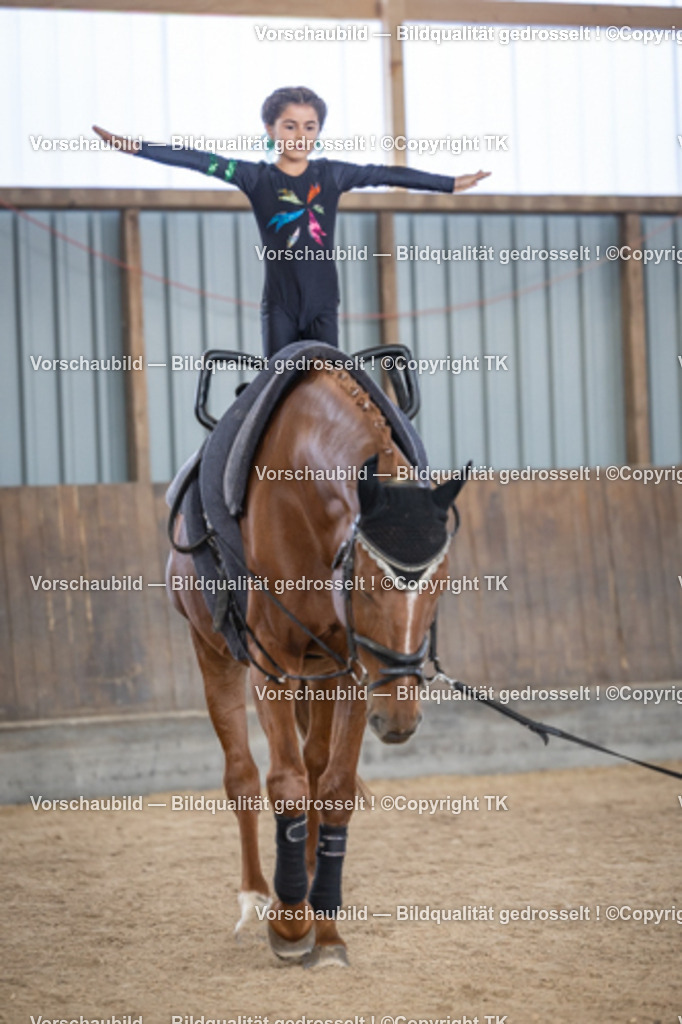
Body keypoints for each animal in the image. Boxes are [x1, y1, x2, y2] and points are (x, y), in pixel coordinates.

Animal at [167, 364, 467, 967]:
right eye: (368, 586)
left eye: (440, 588)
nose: (398, 722)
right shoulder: (272, 662)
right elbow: (282, 782)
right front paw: (289, 925)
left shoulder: (350, 669)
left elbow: (333, 787)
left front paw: (325, 929)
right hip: (212, 651)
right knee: (242, 774)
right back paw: (257, 896)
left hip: (320, 671)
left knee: (313, 761)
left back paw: (301, 878)